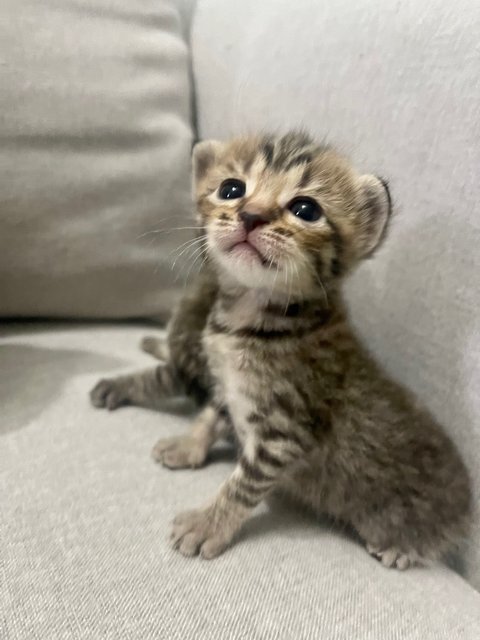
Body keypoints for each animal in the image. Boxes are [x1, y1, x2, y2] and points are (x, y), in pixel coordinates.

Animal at [92, 131, 470, 568]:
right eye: (231, 189)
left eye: (306, 209)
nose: (251, 215)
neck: (247, 318)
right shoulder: (224, 384)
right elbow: (211, 413)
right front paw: (188, 445)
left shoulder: (284, 433)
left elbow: (242, 485)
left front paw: (207, 524)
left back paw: (401, 548)